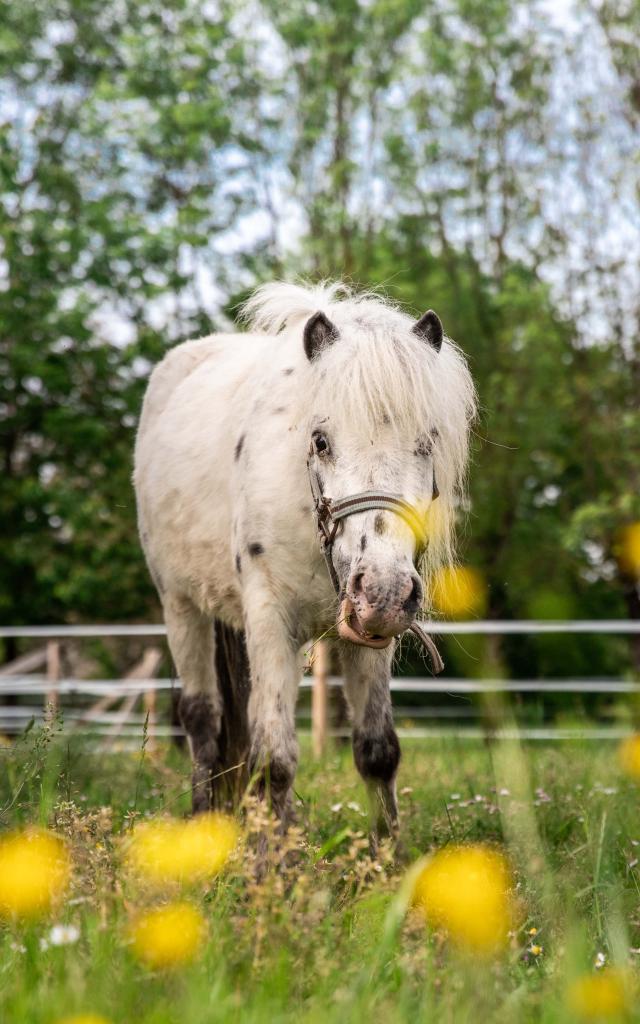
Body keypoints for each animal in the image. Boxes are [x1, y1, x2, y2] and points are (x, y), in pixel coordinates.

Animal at [133, 282, 475, 839]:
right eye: (320, 441)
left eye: (428, 443)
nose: (382, 592)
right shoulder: (271, 621)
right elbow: (274, 761)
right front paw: (276, 861)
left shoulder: (369, 638)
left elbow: (377, 751)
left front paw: (388, 857)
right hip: (181, 606)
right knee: (203, 722)